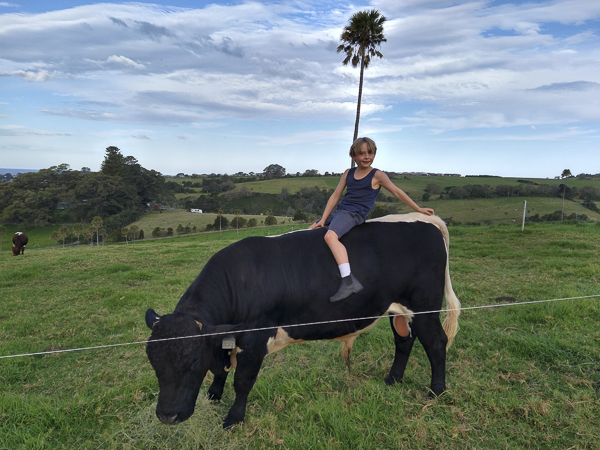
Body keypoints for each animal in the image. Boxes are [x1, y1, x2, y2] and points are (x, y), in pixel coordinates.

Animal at [144, 214, 460, 428]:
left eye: (193, 361)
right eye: (153, 362)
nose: (168, 416)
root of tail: (425, 218)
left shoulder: (255, 338)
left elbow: (242, 381)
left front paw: (234, 418)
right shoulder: (222, 337)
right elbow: (221, 370)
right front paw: (213, 395)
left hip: (424, 306)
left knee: (436, 342)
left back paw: (436, 390)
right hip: (398, 308)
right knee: (404, 340)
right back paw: (393, 379)